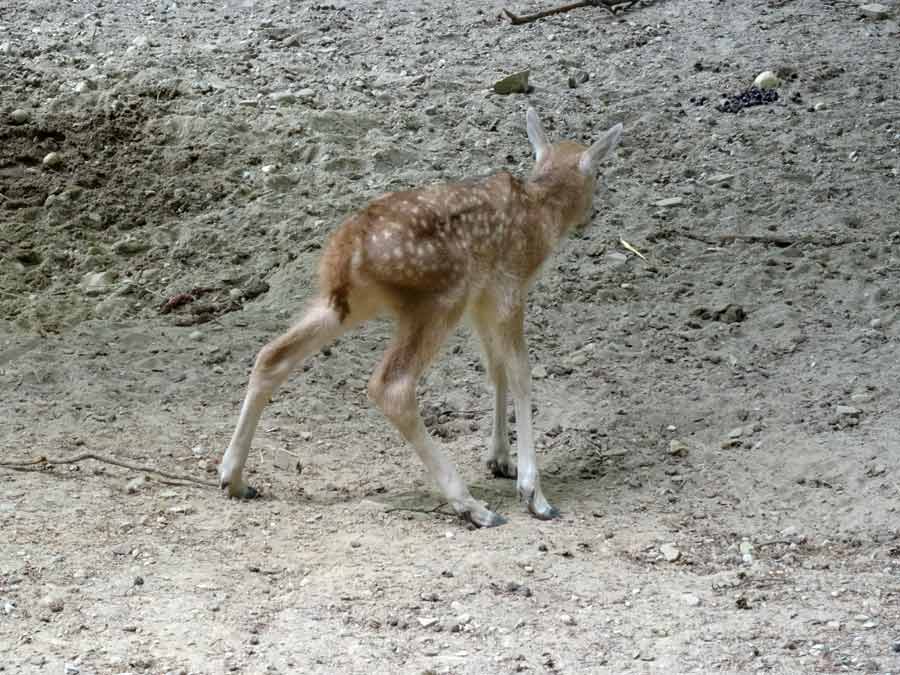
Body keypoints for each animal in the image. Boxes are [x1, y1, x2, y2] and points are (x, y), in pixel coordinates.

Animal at [221, 107, 624, 528]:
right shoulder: (508, 288)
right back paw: (472, 506)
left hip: (349, 303)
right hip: (439, 297)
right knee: (391, 385)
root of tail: (345, 251)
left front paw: (500, 459)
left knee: (271, 355)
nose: (592, 215)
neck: (541, 216)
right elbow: (520, 374)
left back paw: (235, 479)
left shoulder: (482, 301)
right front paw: (534, 494)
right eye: (599, 173)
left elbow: (495, 368)